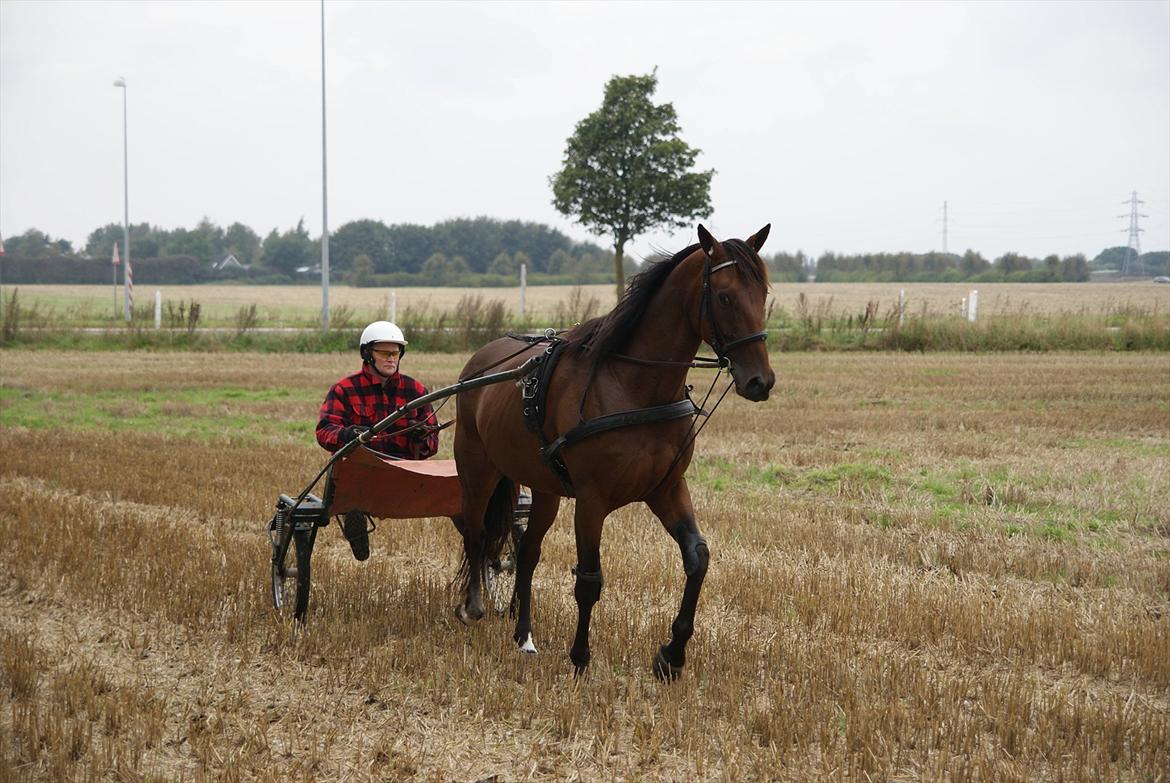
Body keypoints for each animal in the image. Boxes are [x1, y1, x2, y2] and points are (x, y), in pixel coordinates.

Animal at [451, 222, 772, 674]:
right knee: (476, 533)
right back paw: (473, 605)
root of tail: (481, 360)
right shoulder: (592, 499)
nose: (760, 381)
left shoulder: (666, 488)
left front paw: (671, 655)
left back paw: (524, 634)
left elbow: (697, 558)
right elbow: (589, 579)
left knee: (527, 552)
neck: (635, 387)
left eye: (763, 293)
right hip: (478, 468)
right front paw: (580, 658)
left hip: (544, 487)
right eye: (725, 296)